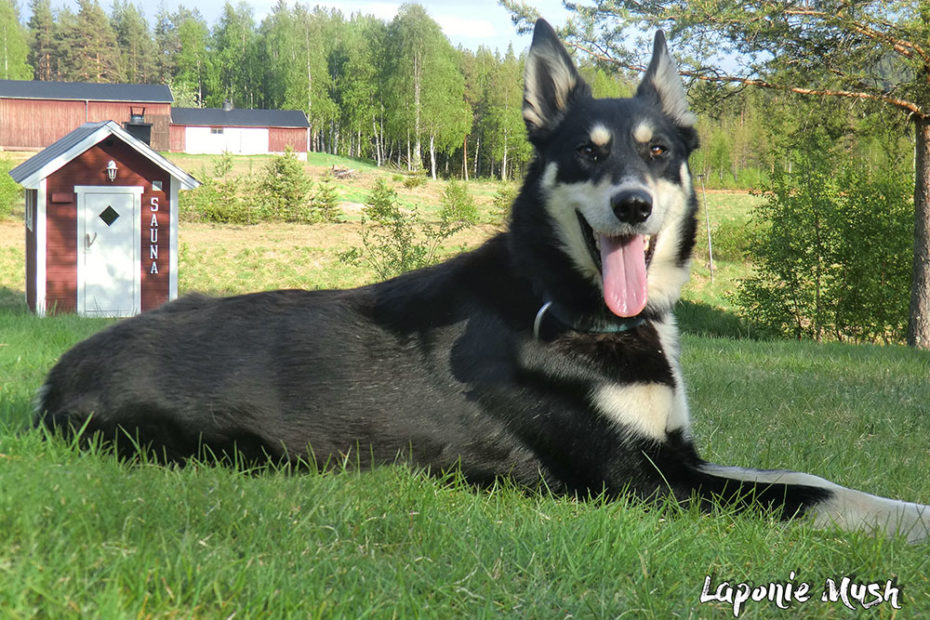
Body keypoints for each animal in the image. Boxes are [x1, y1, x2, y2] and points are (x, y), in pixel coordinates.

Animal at [34, 18, 928, 544]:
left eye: (660, 151)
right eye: (587, 154)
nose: (634, 205)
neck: (567, 302)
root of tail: (54, 379)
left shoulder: (680, 458)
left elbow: (806, 477)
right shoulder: (646, 483)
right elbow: (810, 493)